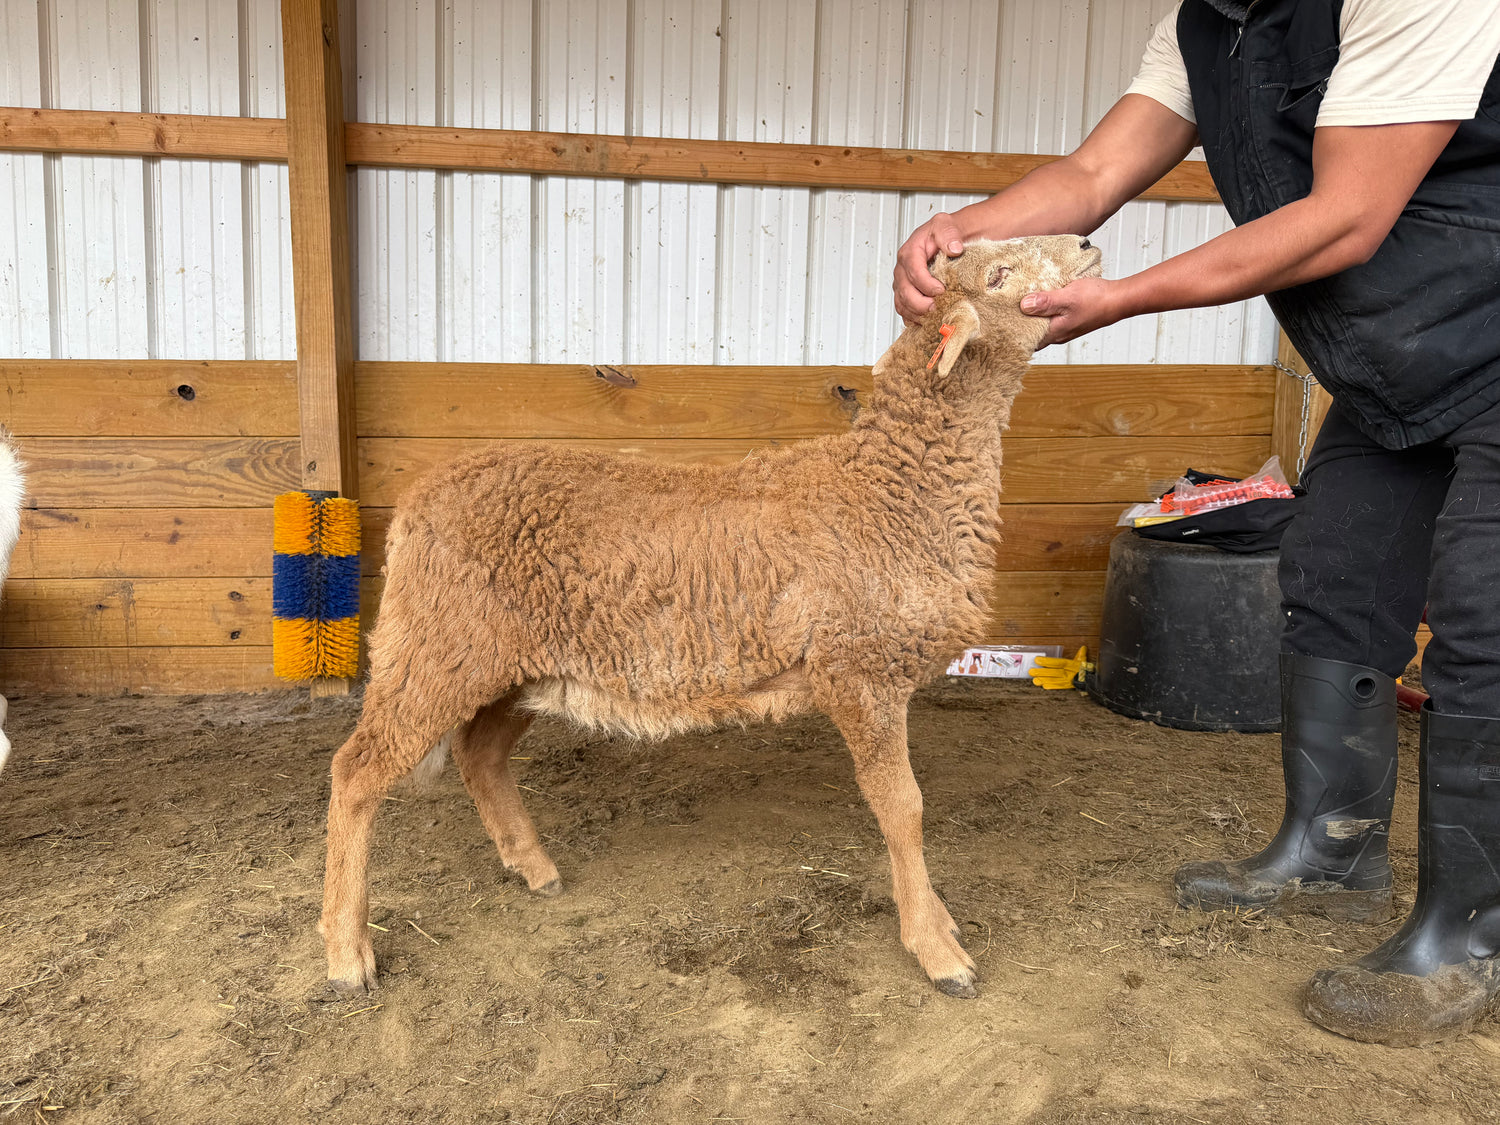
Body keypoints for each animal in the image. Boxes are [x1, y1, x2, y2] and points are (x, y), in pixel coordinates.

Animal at [319, 234, 1104, 999]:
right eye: (998, 272)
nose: (1089, 245)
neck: (891, 487)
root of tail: (416, 501)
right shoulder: (860, 671)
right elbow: (903, 807)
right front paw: (937, 950)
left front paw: (937, 922)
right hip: (434, 647)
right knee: (356, 770)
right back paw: (347, 953)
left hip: (514, 666)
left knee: (479, 756)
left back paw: (534, 869)